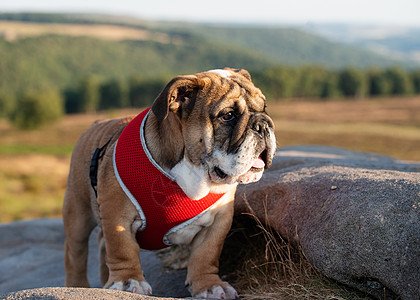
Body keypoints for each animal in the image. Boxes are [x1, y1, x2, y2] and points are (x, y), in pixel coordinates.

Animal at [62, 68, 278, 300]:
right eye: (228, 115)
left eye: (265, 108)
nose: (263, 124)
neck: (194, 172)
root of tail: (96, 123)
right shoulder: (117, 217)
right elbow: (122, 249)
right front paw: (127, 281)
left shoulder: (218, 222)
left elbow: (206, 255)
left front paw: (209, 286)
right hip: (78, 213)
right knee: (76, 253)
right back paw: (78, 286)